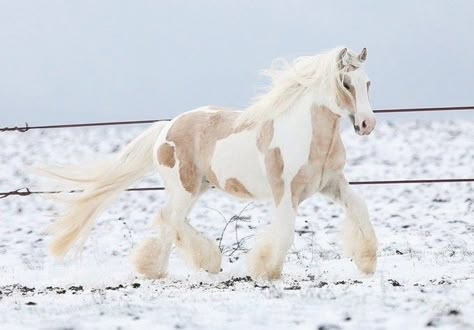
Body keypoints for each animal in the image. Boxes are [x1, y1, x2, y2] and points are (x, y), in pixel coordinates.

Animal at [39, 46, 378, 278]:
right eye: (346, 83)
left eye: (368, 83)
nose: (366, 124)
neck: (307, 134)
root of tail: (166, 128)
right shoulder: (285, 192)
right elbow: (285, 230)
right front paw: (265, 270)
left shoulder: (331, 184)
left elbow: (359, 207)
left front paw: (367, 261)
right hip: (185, 187)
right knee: (170, 218)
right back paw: (196, 263)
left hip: (199, 187)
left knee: (169, 220)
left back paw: (161, 268)